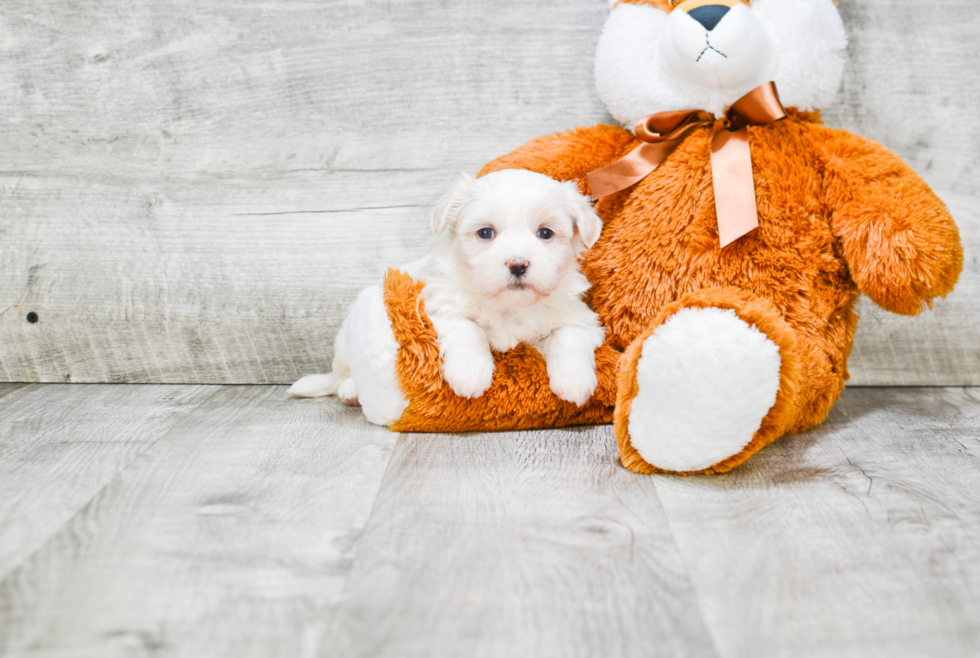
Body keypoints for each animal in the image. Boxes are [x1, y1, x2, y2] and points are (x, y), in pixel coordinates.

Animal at [290, 167, 604, 404]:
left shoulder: (582, 318)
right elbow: (468, 329)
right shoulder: (437, 309)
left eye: (545, 233)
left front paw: (575, 382)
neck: (507, 306)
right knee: (344, 375)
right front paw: (470, 375)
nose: (518, 264)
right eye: (485, 233)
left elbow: (570, 336)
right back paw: (352, 390)